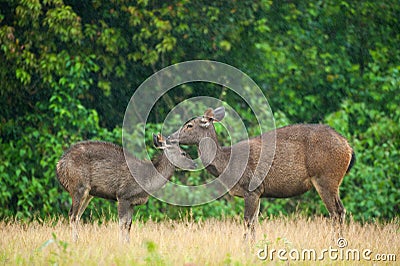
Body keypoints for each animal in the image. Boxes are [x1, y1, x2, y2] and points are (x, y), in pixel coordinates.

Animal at [55, 134, 196, 242]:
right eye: (183, 153)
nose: (194, 163)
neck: (146, 180)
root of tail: (59, 165)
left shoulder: (132, 202)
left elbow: (129, 225)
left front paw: (128, 243)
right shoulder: (123, 195)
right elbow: (122, 223)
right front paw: (121, 244)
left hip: (88, 194)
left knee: (77, 216)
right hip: (78, 186)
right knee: (72, 215)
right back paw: (74, 241)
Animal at [167, 107, 354, 242]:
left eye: (189, 125)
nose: (169, 137)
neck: (227, 165)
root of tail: (348, 147)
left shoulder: (251, 188)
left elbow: (247, 221)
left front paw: (245, 245)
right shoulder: (258, 192)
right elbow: (255, 222)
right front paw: (253, 245)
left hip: (326, 177)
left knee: (336, 212)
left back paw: (335, 243)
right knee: (341, 210)